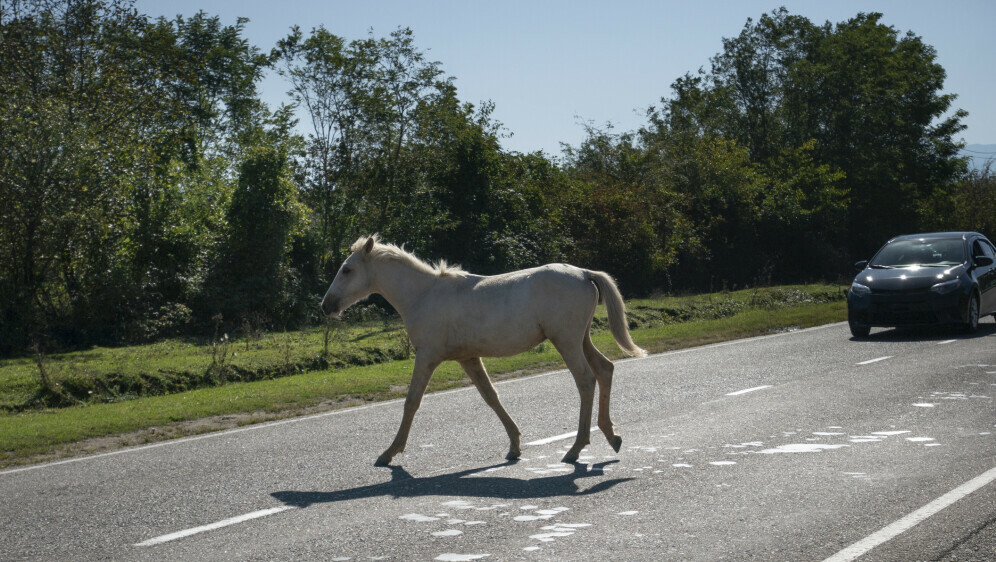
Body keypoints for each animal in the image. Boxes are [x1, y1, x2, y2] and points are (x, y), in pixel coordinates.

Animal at [320, 233, 644, 464]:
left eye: (347, 269)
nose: (326, 305)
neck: (424, 295)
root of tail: (584, 273)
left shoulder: (427, 356)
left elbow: (411, 401)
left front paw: (389, 453)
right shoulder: (468, 358)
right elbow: (491, 396)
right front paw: (514, 445)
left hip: (566, 341)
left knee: (586, 380)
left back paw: (576, 448)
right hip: (581, 339)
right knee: (605, 369)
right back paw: (612, 436)